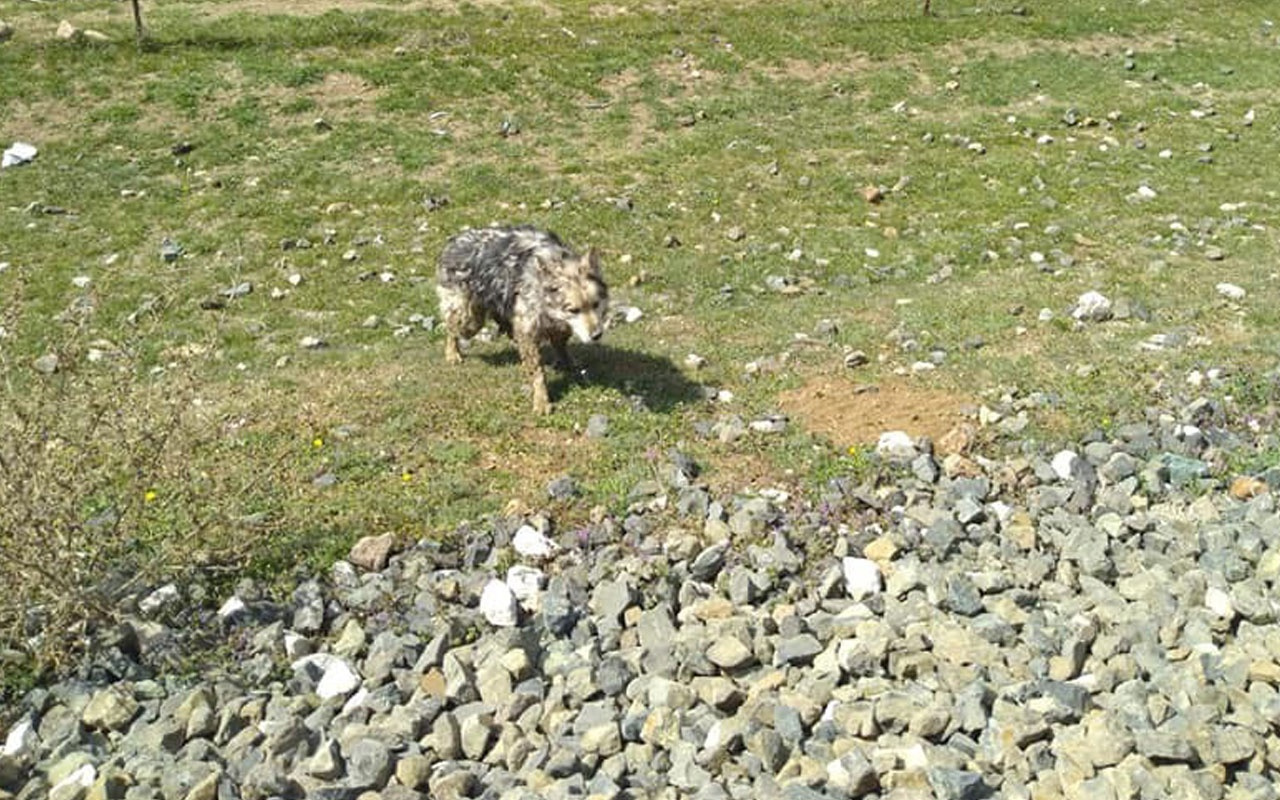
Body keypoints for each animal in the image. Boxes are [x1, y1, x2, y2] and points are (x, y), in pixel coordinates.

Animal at [437, 222, 606, 414]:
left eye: (596, 304)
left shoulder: (558, 326)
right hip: (469, 320)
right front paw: (541, 400)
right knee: (451, 329)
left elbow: (560, 344)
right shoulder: (528, 330)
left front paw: (566, 362)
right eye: (573, 310)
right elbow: (538, 371)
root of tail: (454, 240)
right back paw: (452, 353)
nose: (597, 335)